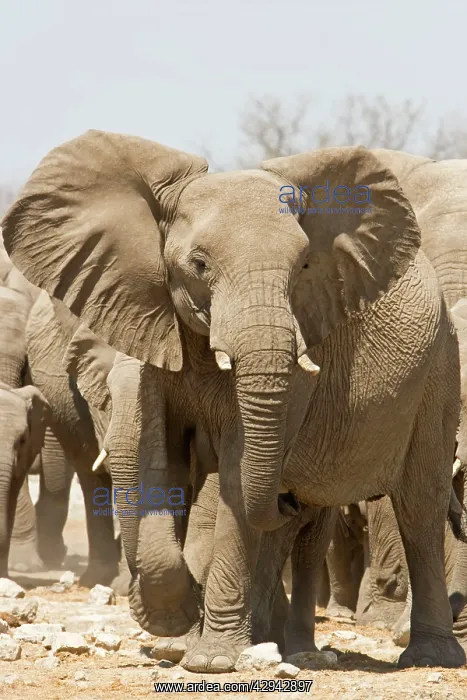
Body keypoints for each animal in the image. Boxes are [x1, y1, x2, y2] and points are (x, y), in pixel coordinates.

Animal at [2, 131, 464, 673]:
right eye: (199, 265)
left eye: (303, 267)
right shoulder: (156, 334)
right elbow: (161, 459)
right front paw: (174, 627)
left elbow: (236, 474)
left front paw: (210, 661)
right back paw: (271, 639)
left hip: (440, 370)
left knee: (418, 505)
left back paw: (425, 655)